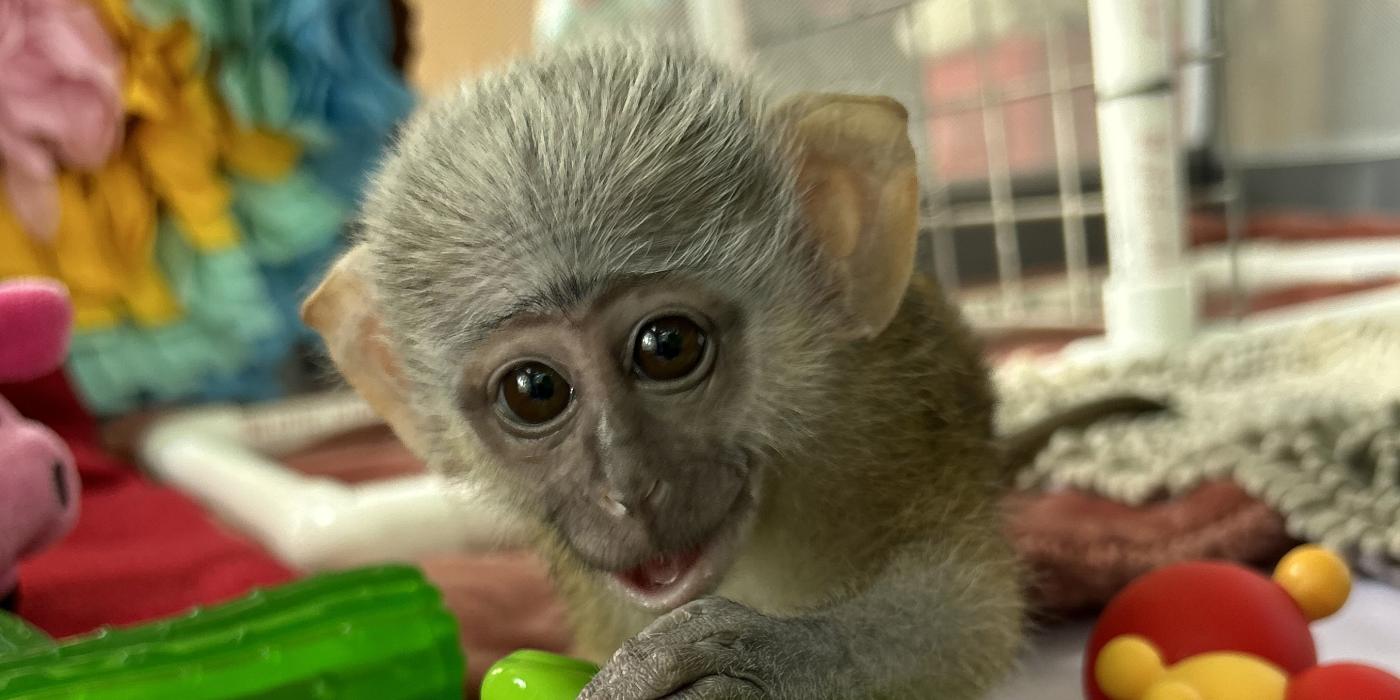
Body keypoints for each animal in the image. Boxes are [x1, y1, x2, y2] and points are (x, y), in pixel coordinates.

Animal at [306, 39, 1030, 700]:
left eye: (667, 347)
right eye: (535, 390)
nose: (627, 488)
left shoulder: (886, 415)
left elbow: (969, 612)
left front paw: (768, 663)